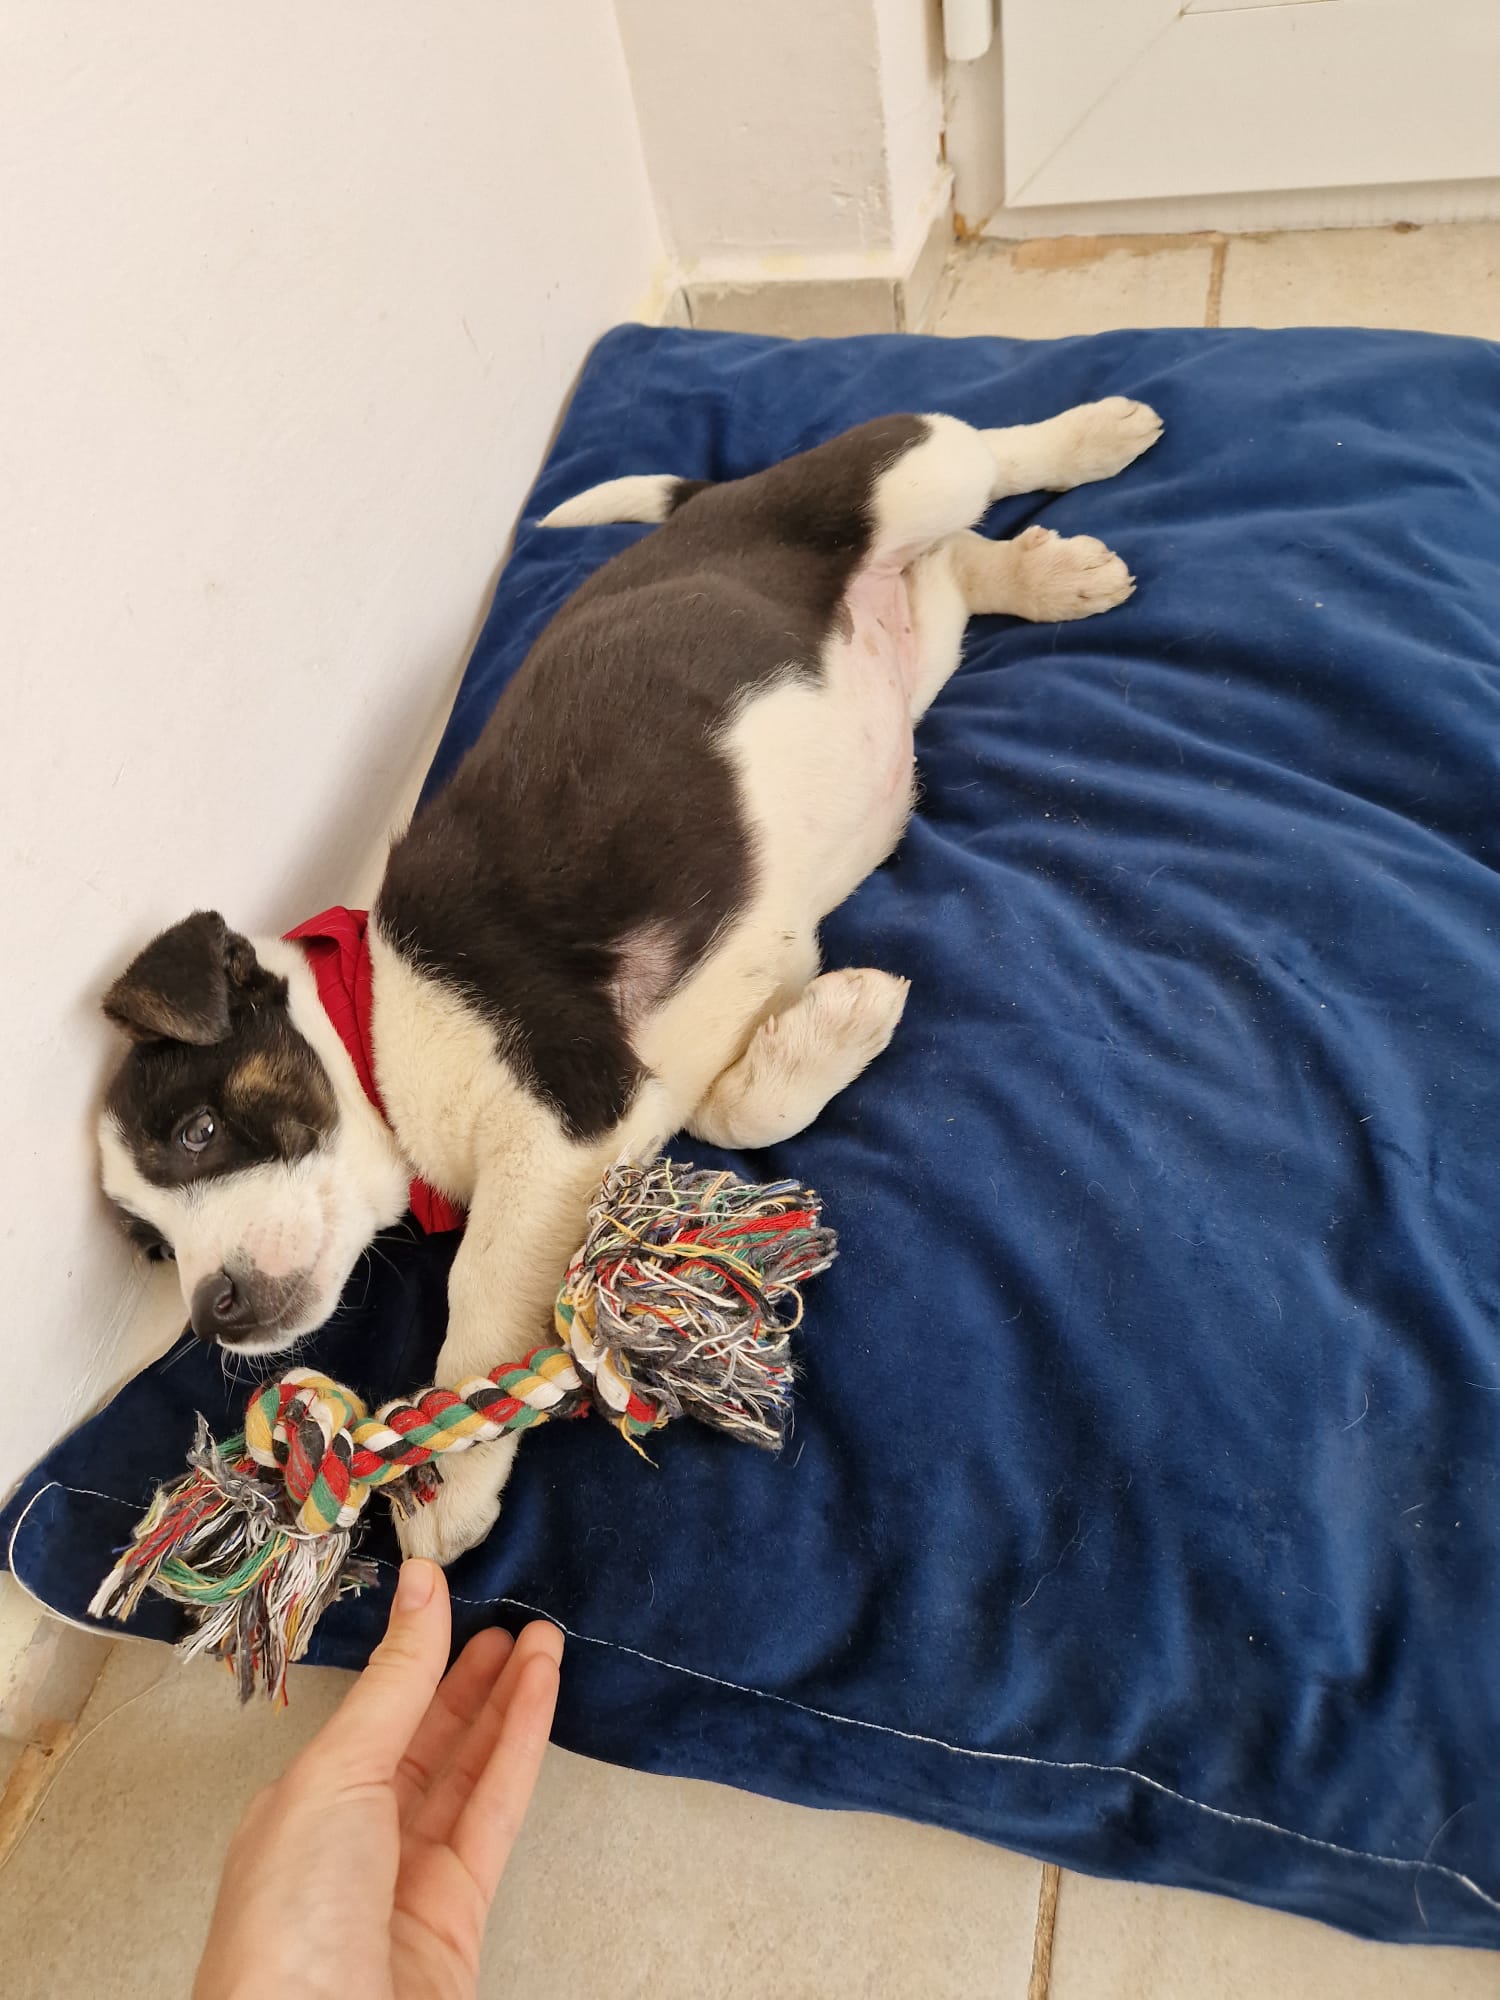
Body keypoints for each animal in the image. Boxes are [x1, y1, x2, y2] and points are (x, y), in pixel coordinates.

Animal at [98, 394, 1162, 1562]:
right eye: (149, 1247)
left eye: (198, 1132)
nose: (215, 1310)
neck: (372, 1024)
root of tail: (718, 499)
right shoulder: (673, 1058)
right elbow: (743, 1106)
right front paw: (831, 1028)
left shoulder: (566, 1112)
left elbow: (482, 1289)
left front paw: (447, 1474)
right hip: (915, 642)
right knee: (956, 572)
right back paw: (1051, 573)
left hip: (897, 475)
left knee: (972, 450)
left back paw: (1092, 438)